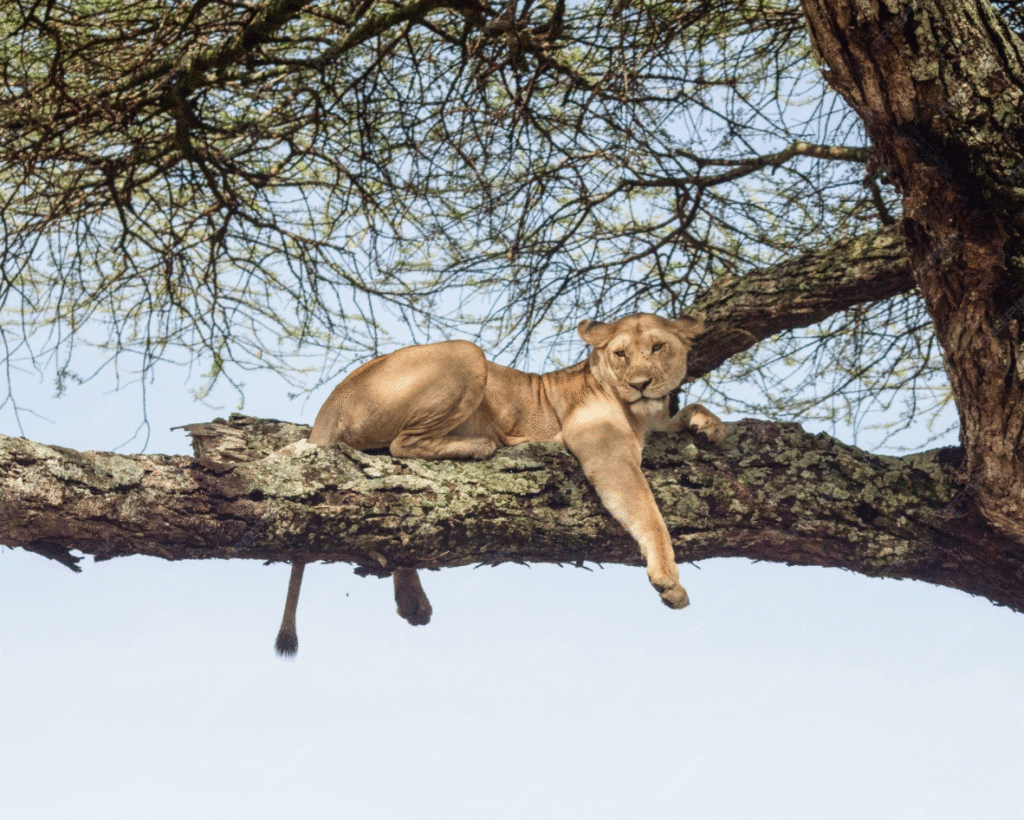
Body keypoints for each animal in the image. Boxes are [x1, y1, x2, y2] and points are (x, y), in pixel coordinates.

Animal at [275, 312, 725, 656]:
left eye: (658, 348)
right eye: (621, 354)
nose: (640, 383)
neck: (639, 412)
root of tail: (331, 402)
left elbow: (688, 408)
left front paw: (709, 424)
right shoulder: (606, 453)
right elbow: (648, 513)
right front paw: (668, 579)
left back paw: (413, 602)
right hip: (466, 354)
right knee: (405, 445)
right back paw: (485, 444)